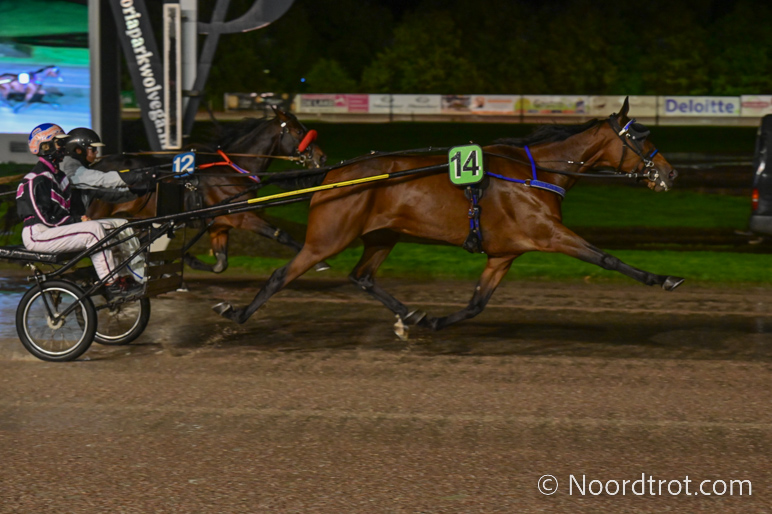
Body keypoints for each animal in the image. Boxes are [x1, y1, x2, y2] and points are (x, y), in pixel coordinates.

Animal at [87, 107, 328, 273]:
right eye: (298, 131)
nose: (321, 157)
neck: (233, 170)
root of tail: (96, 165)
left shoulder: (220, 227)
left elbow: (220, 264)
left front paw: (188, 260)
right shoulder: (243, 216)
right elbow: (281, 234)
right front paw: (320, 262)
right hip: (98, 214)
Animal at [213, 97, 683, 334]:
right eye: (642, 138)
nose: (670, 173)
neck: (537, 173)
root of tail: (333, 173)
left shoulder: (504, 253)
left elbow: (476, 304)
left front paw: (435, 320)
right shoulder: (548, 233)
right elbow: (606, 257)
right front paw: (663, 278)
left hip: (382, 235)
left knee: (362, 277)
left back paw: (410, 316)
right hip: (327, 238)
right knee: (282, 275)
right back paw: (236, 315)